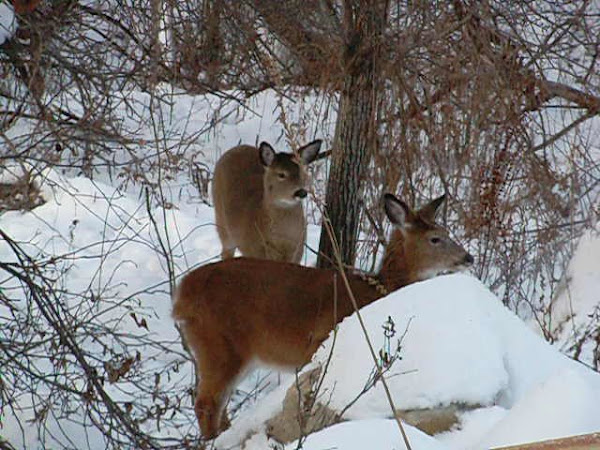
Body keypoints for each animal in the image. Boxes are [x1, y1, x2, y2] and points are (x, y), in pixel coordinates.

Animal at [172, 193, 474, 440]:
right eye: (435, 239)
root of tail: (183, 293)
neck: (378, 288)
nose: (468, 258)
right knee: (206, 403)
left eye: (447, 232)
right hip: (219, 342)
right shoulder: (321, 340)